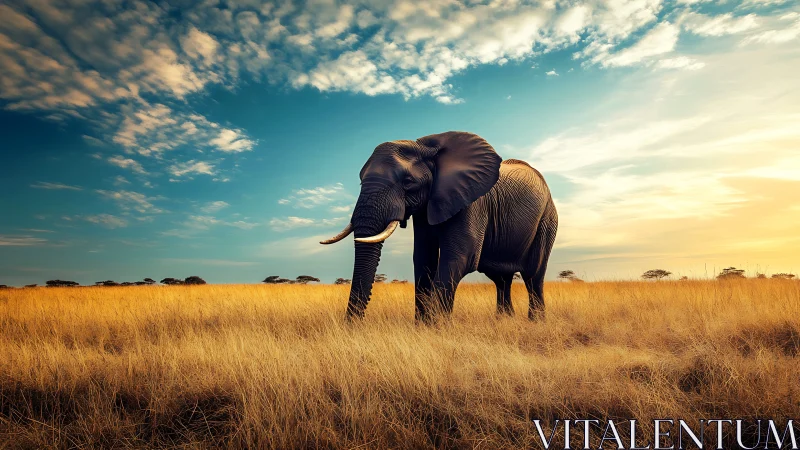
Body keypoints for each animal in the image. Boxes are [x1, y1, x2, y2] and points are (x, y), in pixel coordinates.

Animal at [321, 131, 558, 321]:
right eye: (361, 181)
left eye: (408, 182)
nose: (352, 327)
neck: (428, 148)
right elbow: (423, 258)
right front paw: (422, 327)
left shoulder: (472, 201)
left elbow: (459, 258)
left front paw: (438, 328)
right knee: (502, 279)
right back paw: (504, 320)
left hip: (547, 219)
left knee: (533, 275)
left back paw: (535, 322)